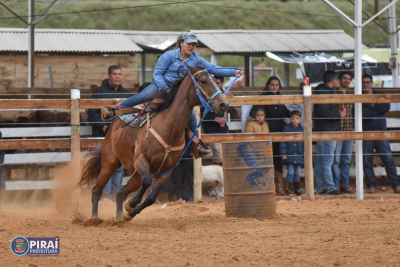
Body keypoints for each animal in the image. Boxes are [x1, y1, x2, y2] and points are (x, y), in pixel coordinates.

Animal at [77, 63, 228, 221]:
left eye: (214, 80)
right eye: (203, 81)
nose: (223, 104)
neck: (168, 127)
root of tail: (114, 125)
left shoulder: (166, 170)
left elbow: (151, 198)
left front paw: (129, 211)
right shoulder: (141, 158)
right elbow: (147, 182)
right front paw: (131, 204)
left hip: (136, 174)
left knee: (120, 193)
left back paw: (119, 218)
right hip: (109, 163)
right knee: (97, 190)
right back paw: (94, 218)